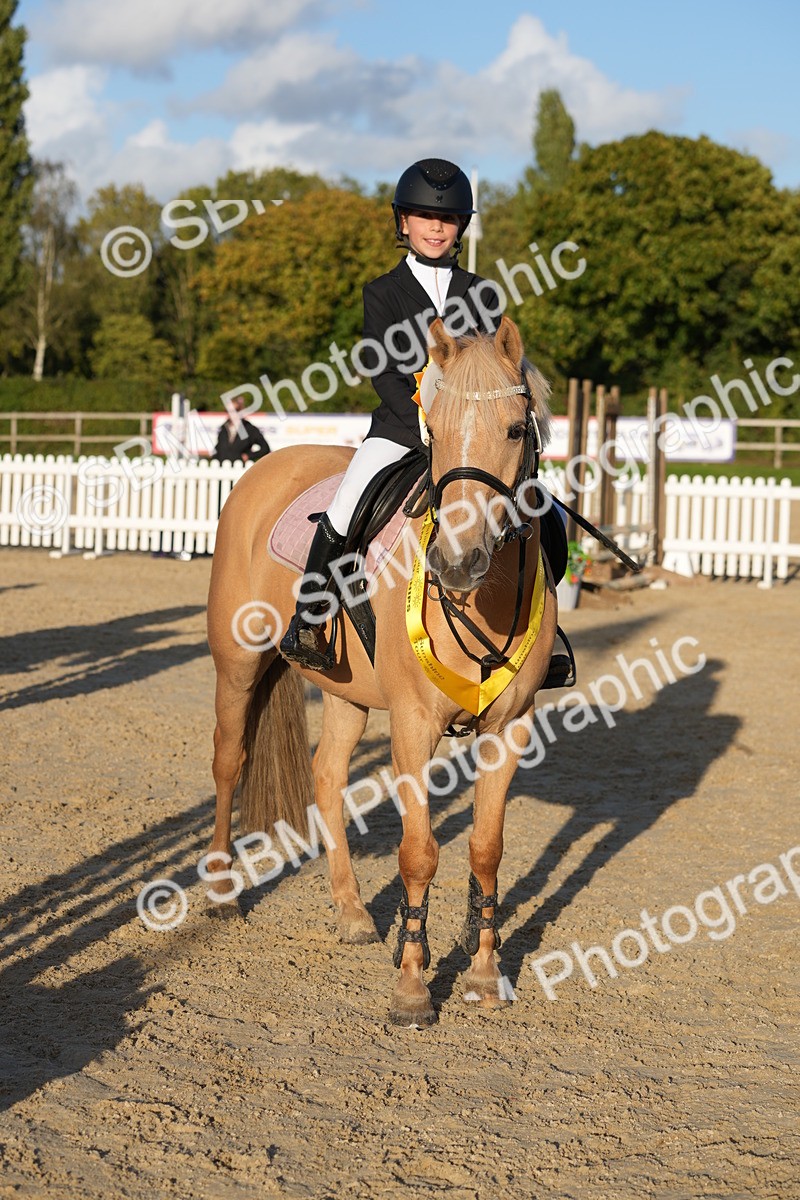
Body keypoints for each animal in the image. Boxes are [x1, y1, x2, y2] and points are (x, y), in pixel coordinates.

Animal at [205, 314, 558, 1026]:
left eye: (515, 429)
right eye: (434, 431)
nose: (457, 563)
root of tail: (267, 465)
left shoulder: (509, 727)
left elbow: (486, 848)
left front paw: (484, 974)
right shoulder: (415, 725)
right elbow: (419, 852)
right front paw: (413, 988)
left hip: (346, 694)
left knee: (326, 776)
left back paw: (350, 913)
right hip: (237, 666)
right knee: (230, 761)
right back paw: (224, 892)